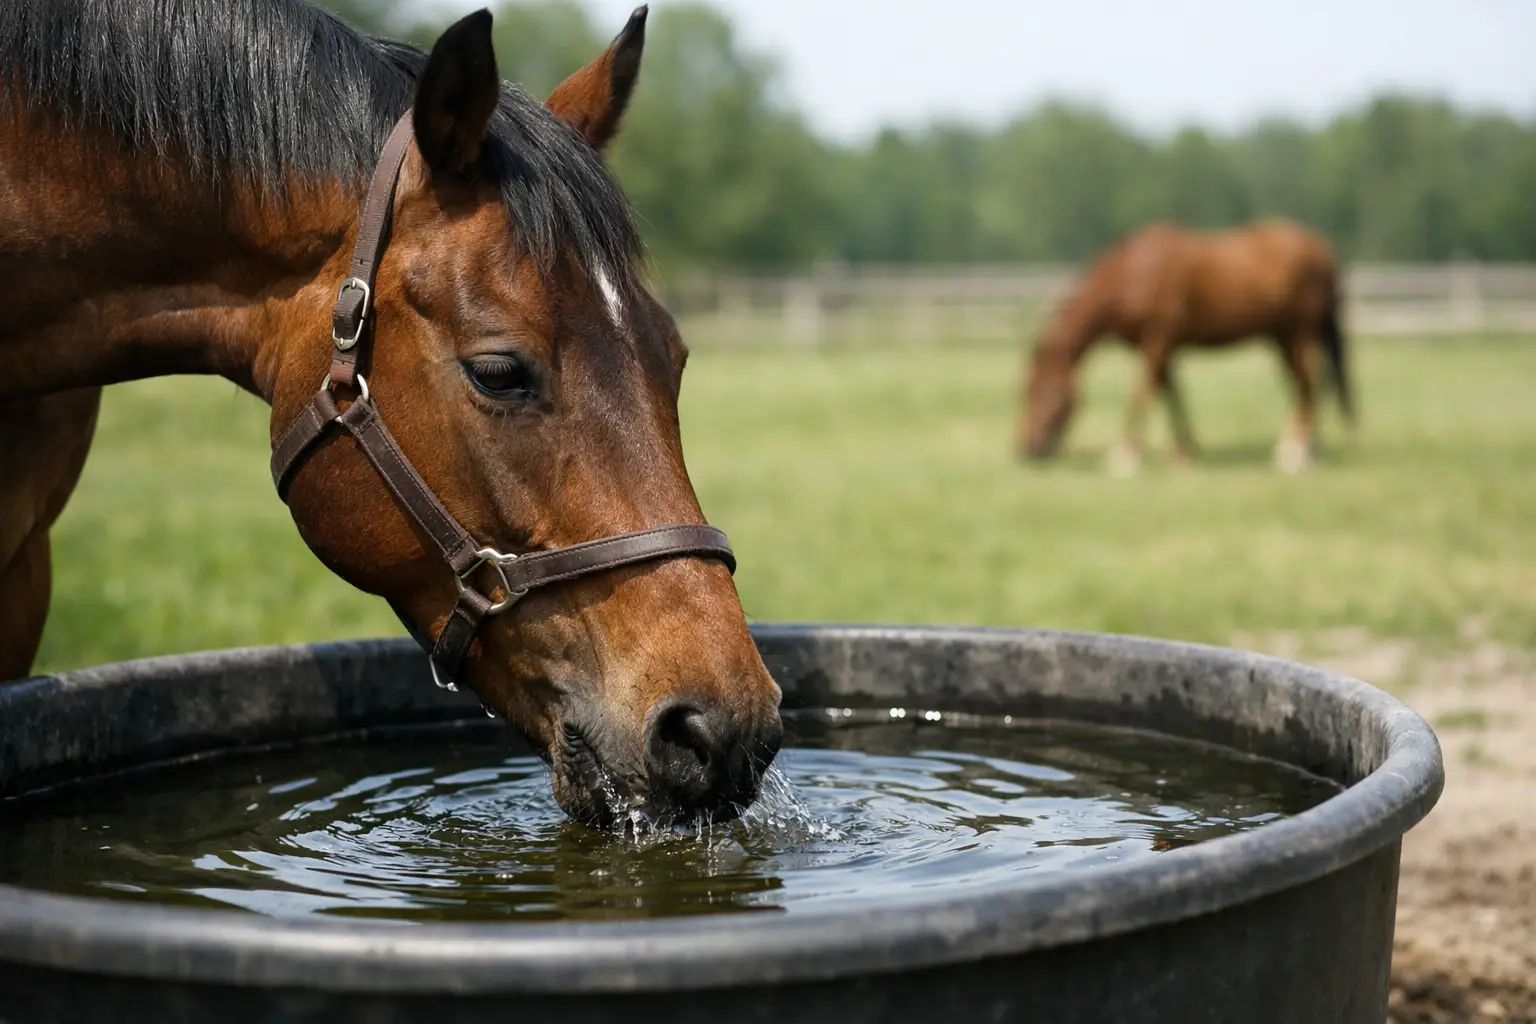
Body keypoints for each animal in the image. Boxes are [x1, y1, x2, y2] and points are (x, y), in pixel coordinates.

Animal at [1018, 219, 1353, 474]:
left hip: (1297, 335)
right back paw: (1309, 448)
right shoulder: (1163, 349)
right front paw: (1185, 453)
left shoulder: (1156, 342)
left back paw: (1294, 453)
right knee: (1304, 386)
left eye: (1042, 392)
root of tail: (1320, 251)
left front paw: (1125, 456)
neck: (1135, 274)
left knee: (1307, 385)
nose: (1026, 450)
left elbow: (1141, 393)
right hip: (1281, 339)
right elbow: (1171, 396)